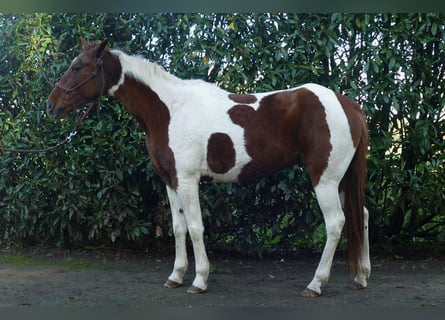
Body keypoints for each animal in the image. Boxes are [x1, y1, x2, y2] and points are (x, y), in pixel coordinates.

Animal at [46, 38, 370, 298]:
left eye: (78, 67)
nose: (51, 106)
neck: (169, 110)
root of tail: (349, 104)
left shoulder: (188, 179)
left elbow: (195, 227)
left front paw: (199, 280)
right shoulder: (170, 180)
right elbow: (178, 228)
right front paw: (175, 276)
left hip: (324, 179)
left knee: (335, 223)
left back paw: (316, 284)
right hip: (341, 180)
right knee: (361, 215)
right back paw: (361, 277)